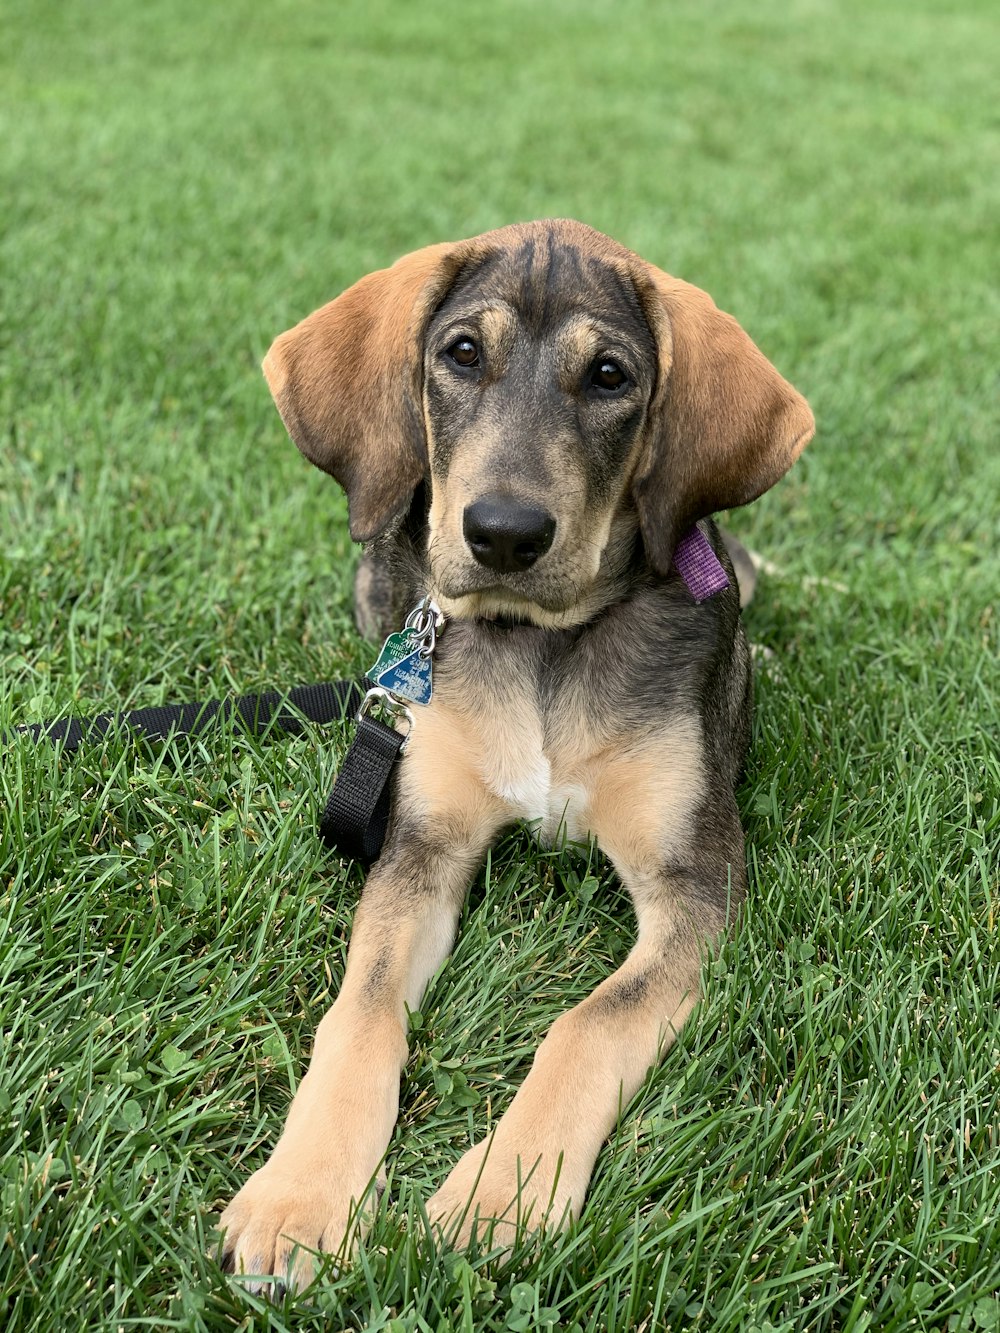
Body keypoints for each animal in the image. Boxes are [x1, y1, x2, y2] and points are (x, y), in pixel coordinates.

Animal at [218, 218, 816, 1290]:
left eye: (611, 376)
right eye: (461, 354)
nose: (502, 534)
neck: (541, 644)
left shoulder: (698, 879)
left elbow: (592, 1020)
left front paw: (502, 1192)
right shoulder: (422, 846)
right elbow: (359, 1012)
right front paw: (299, 1197)